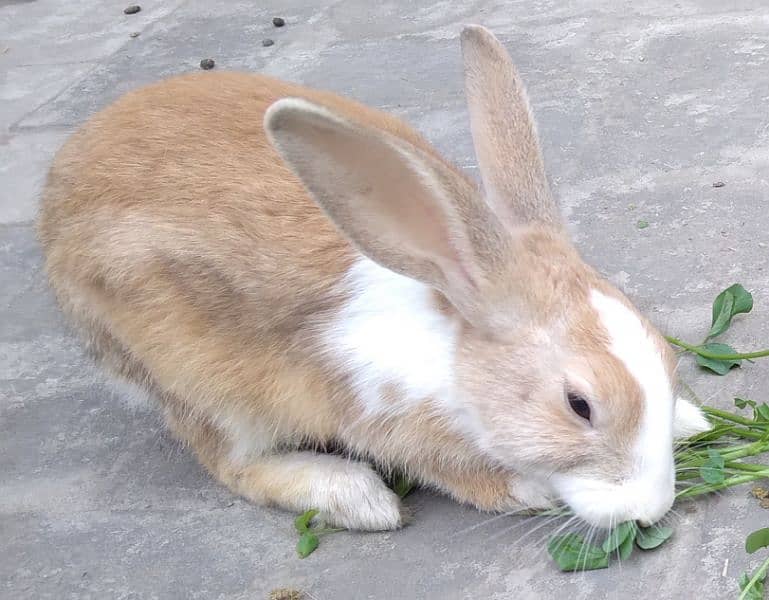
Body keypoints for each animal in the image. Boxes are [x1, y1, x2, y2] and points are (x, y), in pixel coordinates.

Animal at [36, 24, 708, 528]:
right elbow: (452, 468)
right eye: (579, 406)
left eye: (667, 361)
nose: (651, 510)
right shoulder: (379, 416)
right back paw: (353, 497)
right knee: (230, 462)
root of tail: (55, 191)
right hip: (195, 382)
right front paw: (527, 491)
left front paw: (689, 421)